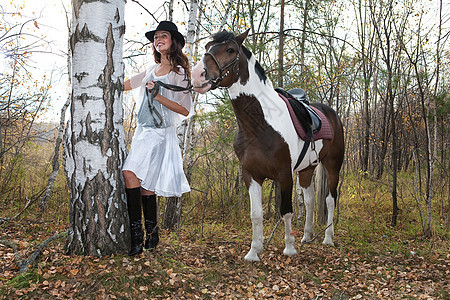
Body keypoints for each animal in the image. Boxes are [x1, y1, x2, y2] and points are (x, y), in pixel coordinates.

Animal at [191, 29, 344, 262]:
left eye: (230, 50)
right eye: (208, 47)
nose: (197, 75)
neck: (259, 125)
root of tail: (331, 113)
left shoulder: (284, 174)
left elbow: (286, 210)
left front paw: (289, 248)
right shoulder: (251, 174)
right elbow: (256, 214)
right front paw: (254, 251)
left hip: (333, 165)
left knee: (330, 199)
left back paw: (328, 238)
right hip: (307, 169)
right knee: (309, 200)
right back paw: (307, 236)